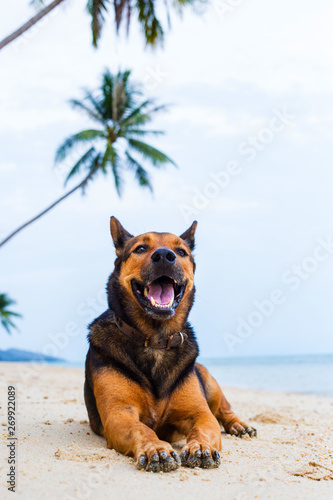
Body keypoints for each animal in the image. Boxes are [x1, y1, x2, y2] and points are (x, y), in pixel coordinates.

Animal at [84, 218, 255, 472]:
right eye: (140, 248)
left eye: (181, 252)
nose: (165, 256)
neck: (155, 338)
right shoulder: (119, 414)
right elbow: (141, 429)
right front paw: (156, 449)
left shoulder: (199, 413)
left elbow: (205, 427)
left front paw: (200, 447)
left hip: (209, 381)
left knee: (225, 410)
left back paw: (239, 425)